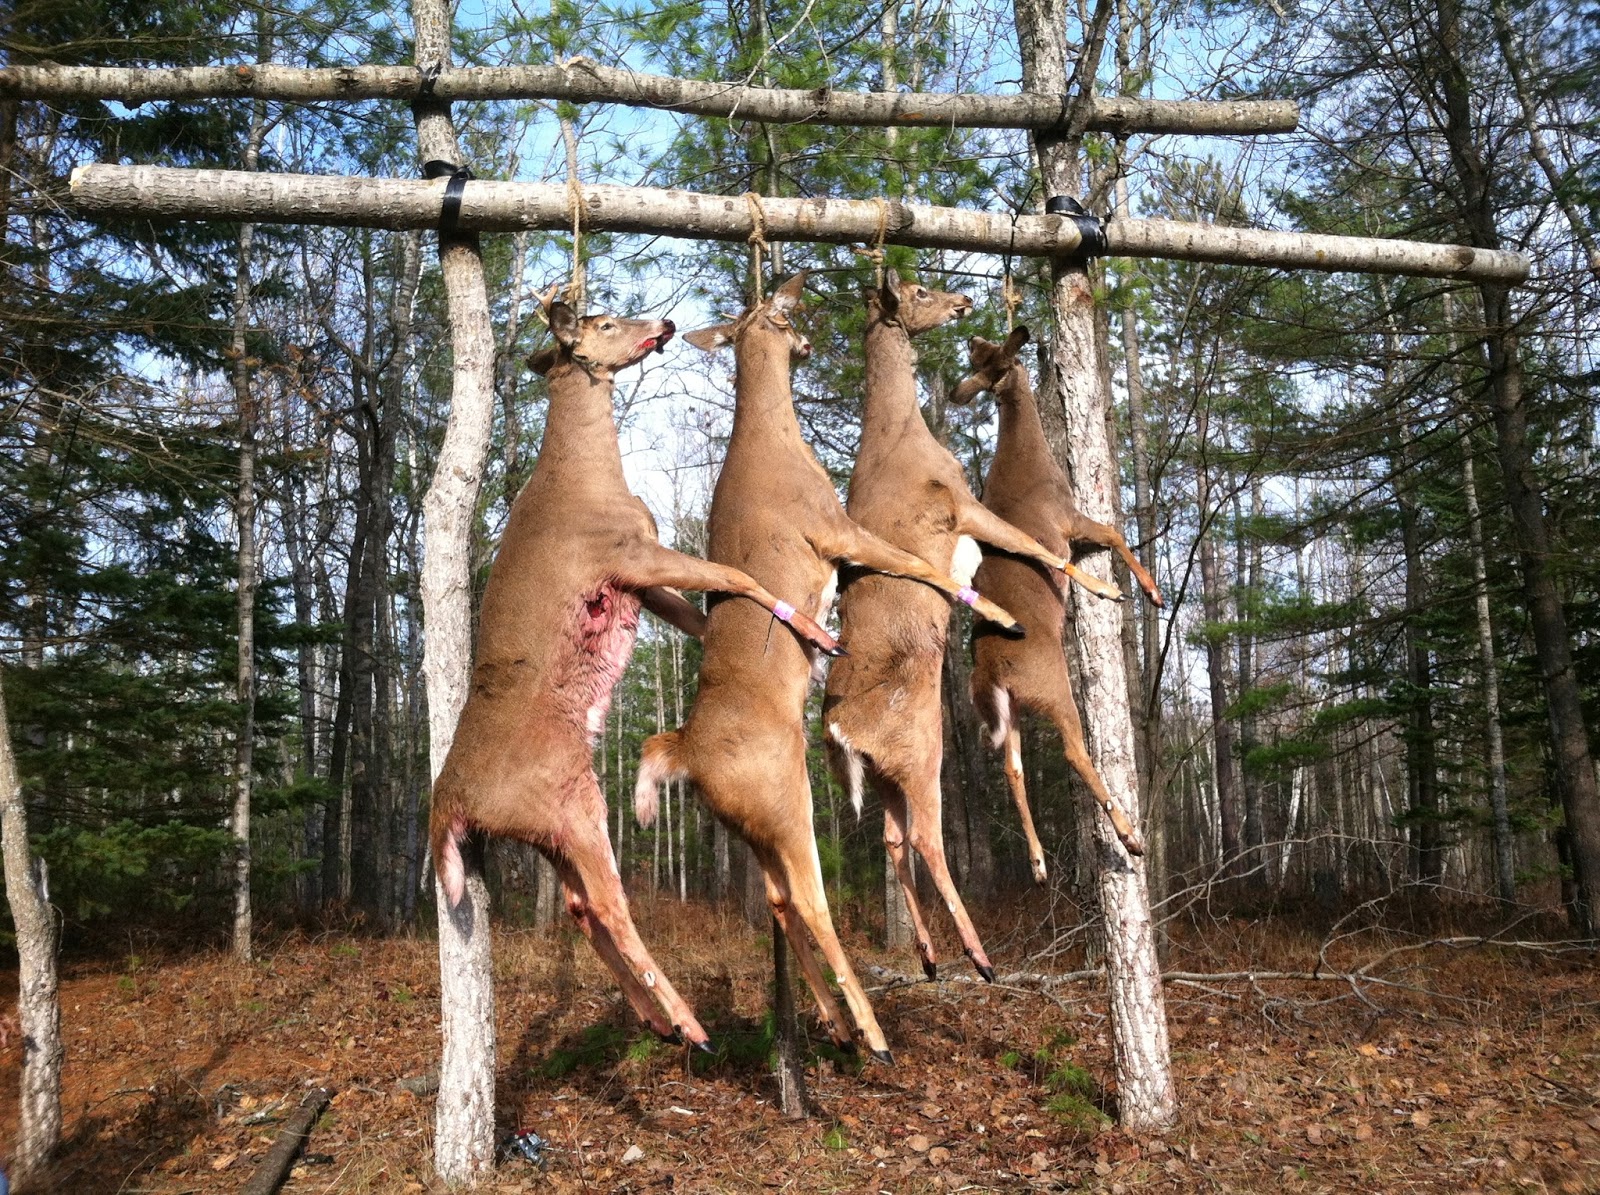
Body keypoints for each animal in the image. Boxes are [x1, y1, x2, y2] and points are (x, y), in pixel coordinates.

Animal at [429, 295, 843, 1052]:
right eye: (604, 322)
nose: (665, 325)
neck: (587, 479)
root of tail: (448, 801)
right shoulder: (631, 554)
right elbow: (735, 576)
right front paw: (815, 630)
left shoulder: (642, 582)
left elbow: (703, 618)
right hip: (568, 804)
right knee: (609, 903)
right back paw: (690, 1023)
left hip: (548, 828)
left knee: (578, 906)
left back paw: (659, 1019)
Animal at [634, 272, 1023, 1062]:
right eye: (784, 316)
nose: (800, 300)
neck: (771, 444)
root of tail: (687, 754)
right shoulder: (836, 528)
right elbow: (923, 563)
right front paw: (1004, 610)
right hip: (801, 793)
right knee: (836, 886)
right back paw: (891, 1020)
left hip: (750, 825)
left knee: (783, 902)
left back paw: (846, 1020)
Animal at [821, 276, 1126, 984]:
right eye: (916, 289)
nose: (961, 301)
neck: (901, 435)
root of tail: (838, 729)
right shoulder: (961, 502)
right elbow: (1035, 547)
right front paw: (1104, 589)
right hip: (922, 747)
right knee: (929, 836)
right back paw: (980, 955)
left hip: (883, 774)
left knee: (893, 839)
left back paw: (931, 956)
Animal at [948, 326, 1162, 884]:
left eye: (979, 354)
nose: (972, 330)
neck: (1026, 455)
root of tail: (992, 670)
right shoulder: (1068, 519)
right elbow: (1114, 532)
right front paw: (1146, 590)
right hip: (1051, 686)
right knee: (1073, 750)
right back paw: (1129, 838)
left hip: (1009, 710)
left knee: (1012, 770)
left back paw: (1039, 862)